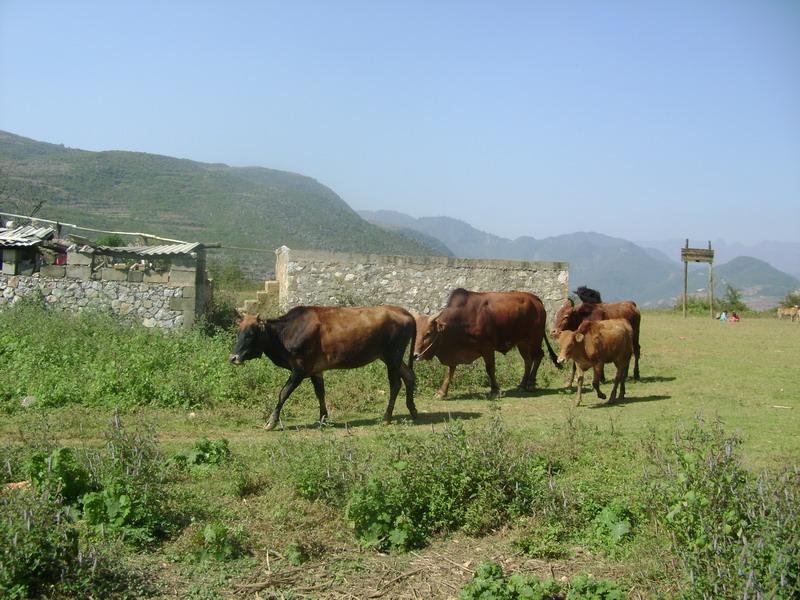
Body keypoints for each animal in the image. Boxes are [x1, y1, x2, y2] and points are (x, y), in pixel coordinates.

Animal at [228, 308, 416, 428]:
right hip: (391, 358)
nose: (233, 357)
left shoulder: (300, 369)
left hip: (392, 357)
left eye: (251, 334)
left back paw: (387, 417)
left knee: (395, 384)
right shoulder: (315, 370)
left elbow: (283, 393)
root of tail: (405, 312)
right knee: (409, 376)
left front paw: (271, 422)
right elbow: (320, 393)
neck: (286, 332)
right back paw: (412, 410)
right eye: (238, 333)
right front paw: (323, 418)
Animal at [412, 290, 556, 398]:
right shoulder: (454, 353)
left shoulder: (487, 348)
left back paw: (530, 384)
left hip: (534, 340)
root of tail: (536, 299)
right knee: (527, 360)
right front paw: (441, 392)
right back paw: (522, 385)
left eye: (428, 333)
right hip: (522, 343)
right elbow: (450, 371)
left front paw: (495, 390)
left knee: (538, 356)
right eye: (416, 332)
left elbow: (490, 368)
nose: (415, 355)